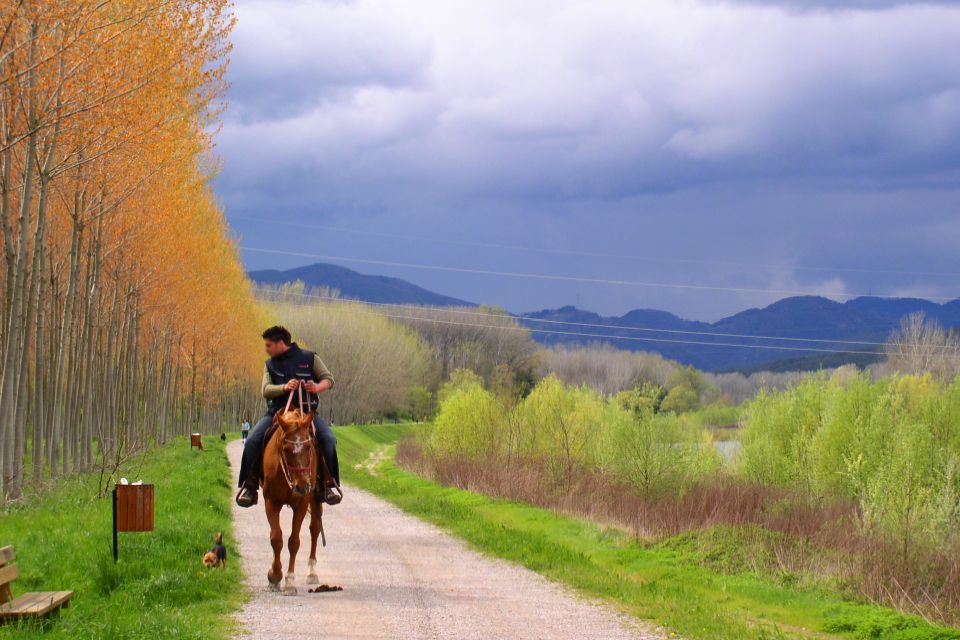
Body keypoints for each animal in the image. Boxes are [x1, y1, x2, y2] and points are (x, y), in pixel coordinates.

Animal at [260, 384, 324, 595]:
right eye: (287, 450)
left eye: (308, 447)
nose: (302, 486)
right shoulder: (271, 501)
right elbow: (276, 538)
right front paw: (274, 576)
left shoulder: (301, 503)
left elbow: (294, 541)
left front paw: (289, 581)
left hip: (315, 498)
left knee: (315, 528)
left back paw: (312, 572)